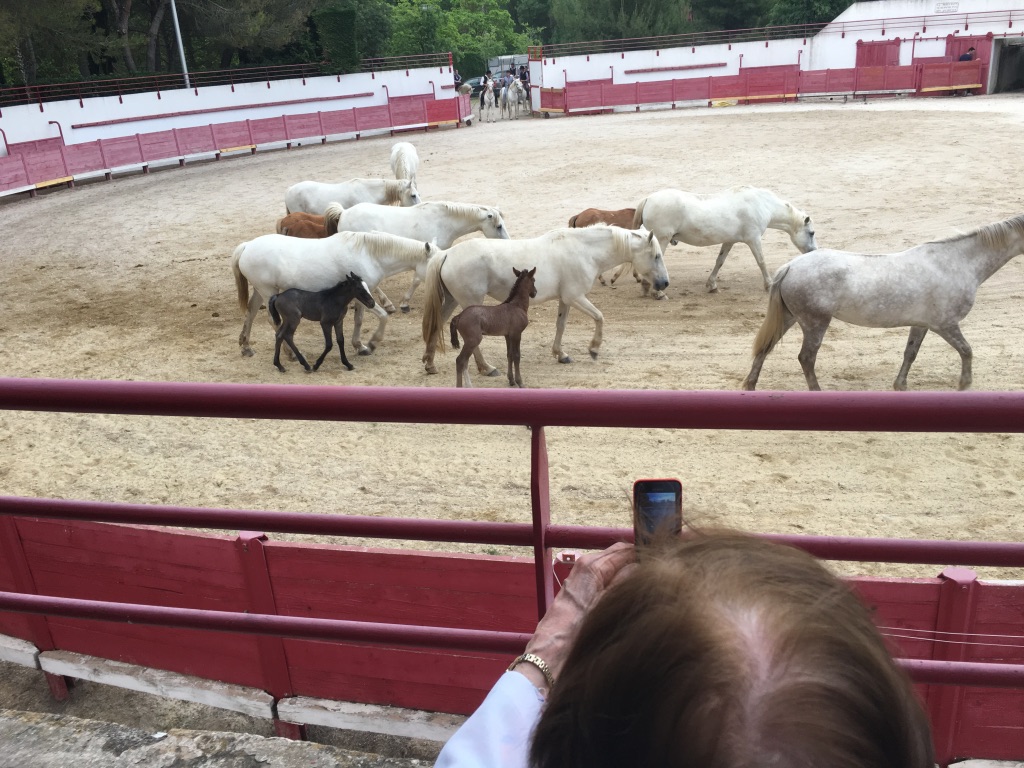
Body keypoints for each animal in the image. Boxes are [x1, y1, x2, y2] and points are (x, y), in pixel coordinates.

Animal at [232, 231, 438, 359]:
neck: (368, 254)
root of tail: (247, 246)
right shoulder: (364, 296)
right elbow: (383, 316)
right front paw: (372, 343)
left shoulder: (362, 296)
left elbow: (358, 320)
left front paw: (360, 346)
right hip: (268, 292)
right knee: (273, 321)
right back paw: (290, 354)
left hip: (261, 291)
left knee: (251, 312)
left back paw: (246, 346)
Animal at [334, 201, 511, 312]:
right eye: (499, 226)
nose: (508, 242)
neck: (443, 221)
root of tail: (344, 213)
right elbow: (417, 279)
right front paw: (405, 303)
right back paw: (387, 304)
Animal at [421, 225, 668, 375]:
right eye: (656, 256)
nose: (664, 283)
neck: (583, 251)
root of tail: (446, 254)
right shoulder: (576, 297)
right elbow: (599, 317)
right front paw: (594, 348)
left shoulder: (566, 299)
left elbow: (561, 325)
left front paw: (560, 354)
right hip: (469, 303)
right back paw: (487, 368)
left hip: (452, 300)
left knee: (436, 325)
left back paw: (430, 363)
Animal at [633, 186, 818, 296]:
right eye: (812, 233)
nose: (813, 252)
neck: (762, 204)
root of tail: (648, 199)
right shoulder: (753, 239)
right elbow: (761, 262)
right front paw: (769, 284)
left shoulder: (729, 242)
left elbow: (719, 261)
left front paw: (712, 284)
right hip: (661, 241)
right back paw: (657, 292)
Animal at [741, 214, 1024, 392]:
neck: (956, 262)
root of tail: (790, 266)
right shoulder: (945, 325)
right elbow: (967, 351)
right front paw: (964, 385)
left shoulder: (921, 324)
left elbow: (910, 353)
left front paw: (900, 386)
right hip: (815, 323)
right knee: (806, 358)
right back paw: (817, 390)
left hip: (790, 319)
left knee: (765, 349)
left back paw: (750, 386)